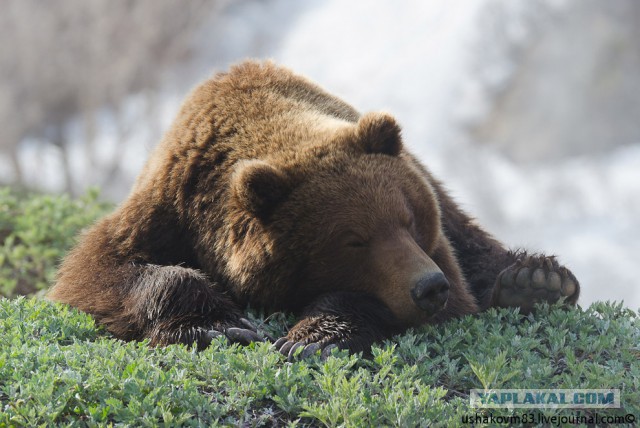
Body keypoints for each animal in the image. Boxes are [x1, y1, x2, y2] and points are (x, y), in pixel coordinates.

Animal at [48, 60, 580, 360]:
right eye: (353, 239)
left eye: (408, 220)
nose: (429, 287)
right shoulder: (168, 201)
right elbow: (97, 271)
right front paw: (223, 326)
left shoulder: (436, 248)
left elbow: (450, 292)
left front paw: (311, 336)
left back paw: (535, 280)